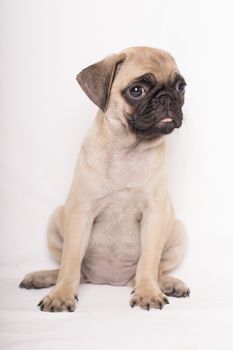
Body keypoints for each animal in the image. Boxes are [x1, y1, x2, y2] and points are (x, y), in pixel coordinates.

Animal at [19, 46, 189, 312]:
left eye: (181, 88)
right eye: (137, 90)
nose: (167, 97)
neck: (128, 149)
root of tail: (108, 280)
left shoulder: (154, 214)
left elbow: (149, 261)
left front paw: (148, 292)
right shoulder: (81, 213)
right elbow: (70, 262)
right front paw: (61, 295)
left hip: (178, 232)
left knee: (158, 270)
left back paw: (170, 283)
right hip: (56, 220)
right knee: (72, 271)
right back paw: (42, 277)